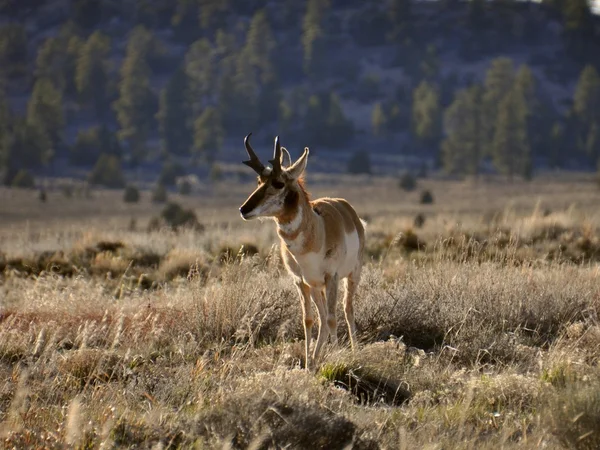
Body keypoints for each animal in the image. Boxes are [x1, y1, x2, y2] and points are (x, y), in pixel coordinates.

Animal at [239, 134, 366, 370]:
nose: (244, 209)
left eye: (278, 183)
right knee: (322, 316)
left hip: (351, 276)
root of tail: (345, 206)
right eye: (259, 181)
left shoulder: (332, 277)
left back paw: (352, 351)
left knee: (346, 310)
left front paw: (337, 358)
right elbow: (308, 320)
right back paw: (316, 358)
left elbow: (333, 318)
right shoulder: (300, 281)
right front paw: (308, 365)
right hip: (316, 287)